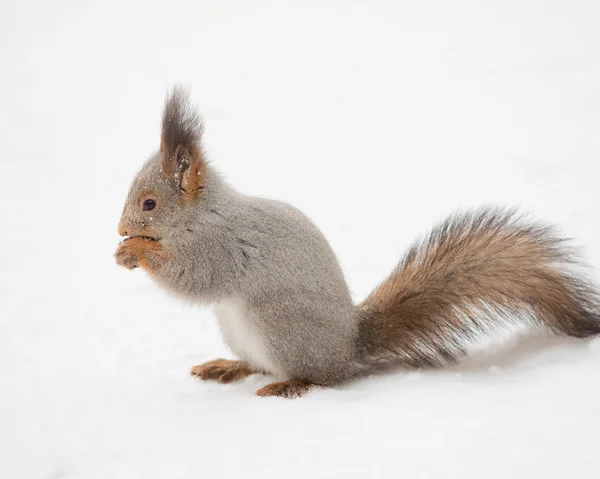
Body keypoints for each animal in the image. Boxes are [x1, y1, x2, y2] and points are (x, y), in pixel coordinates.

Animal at [116, 86, 600, 398]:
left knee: (322, 378)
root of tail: (348, 347)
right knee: (259, 364)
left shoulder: (221, 248)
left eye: (149, 203)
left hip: (280, 327)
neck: (200, 216)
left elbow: (193, 278)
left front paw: (135, 252)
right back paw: (228, 366)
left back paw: (289, 384)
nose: (121, 231)